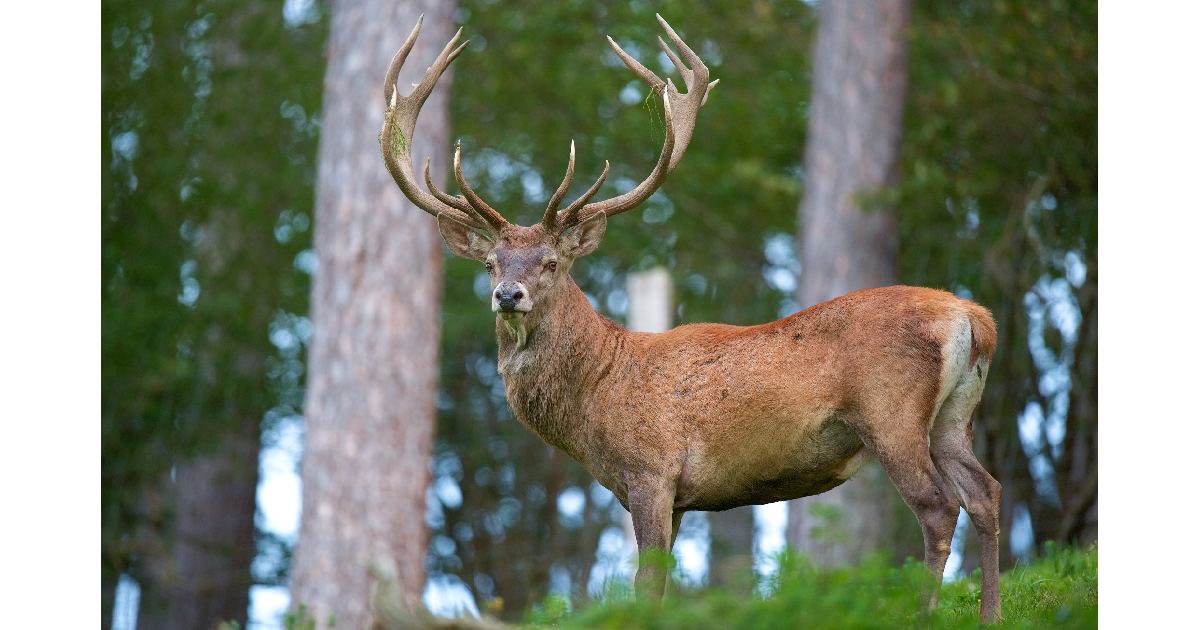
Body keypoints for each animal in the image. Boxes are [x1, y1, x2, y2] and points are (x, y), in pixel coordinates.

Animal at [381, 12, 1003, 619]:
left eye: (551, 262)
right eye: (490, 263)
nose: (508, 295)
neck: (596, 393)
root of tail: (973, 317)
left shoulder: (651, 472)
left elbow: (646, 584)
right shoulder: (676, 497)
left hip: (890, 412)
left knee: (938, 507)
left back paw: (925, 612)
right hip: (953, 417)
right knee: (985, 493)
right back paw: (991, 613)